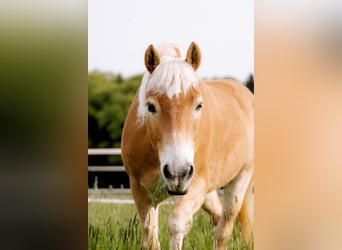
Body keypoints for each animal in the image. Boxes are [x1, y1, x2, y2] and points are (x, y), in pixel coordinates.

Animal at [121, 42, 254, 249]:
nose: (178, 173)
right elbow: (150, 236)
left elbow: (177, 224)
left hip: (240, 180)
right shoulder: (140, 191)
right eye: (150, 107)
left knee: (223, 230)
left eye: (199, 105)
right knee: (218, 216)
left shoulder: (197, 185)